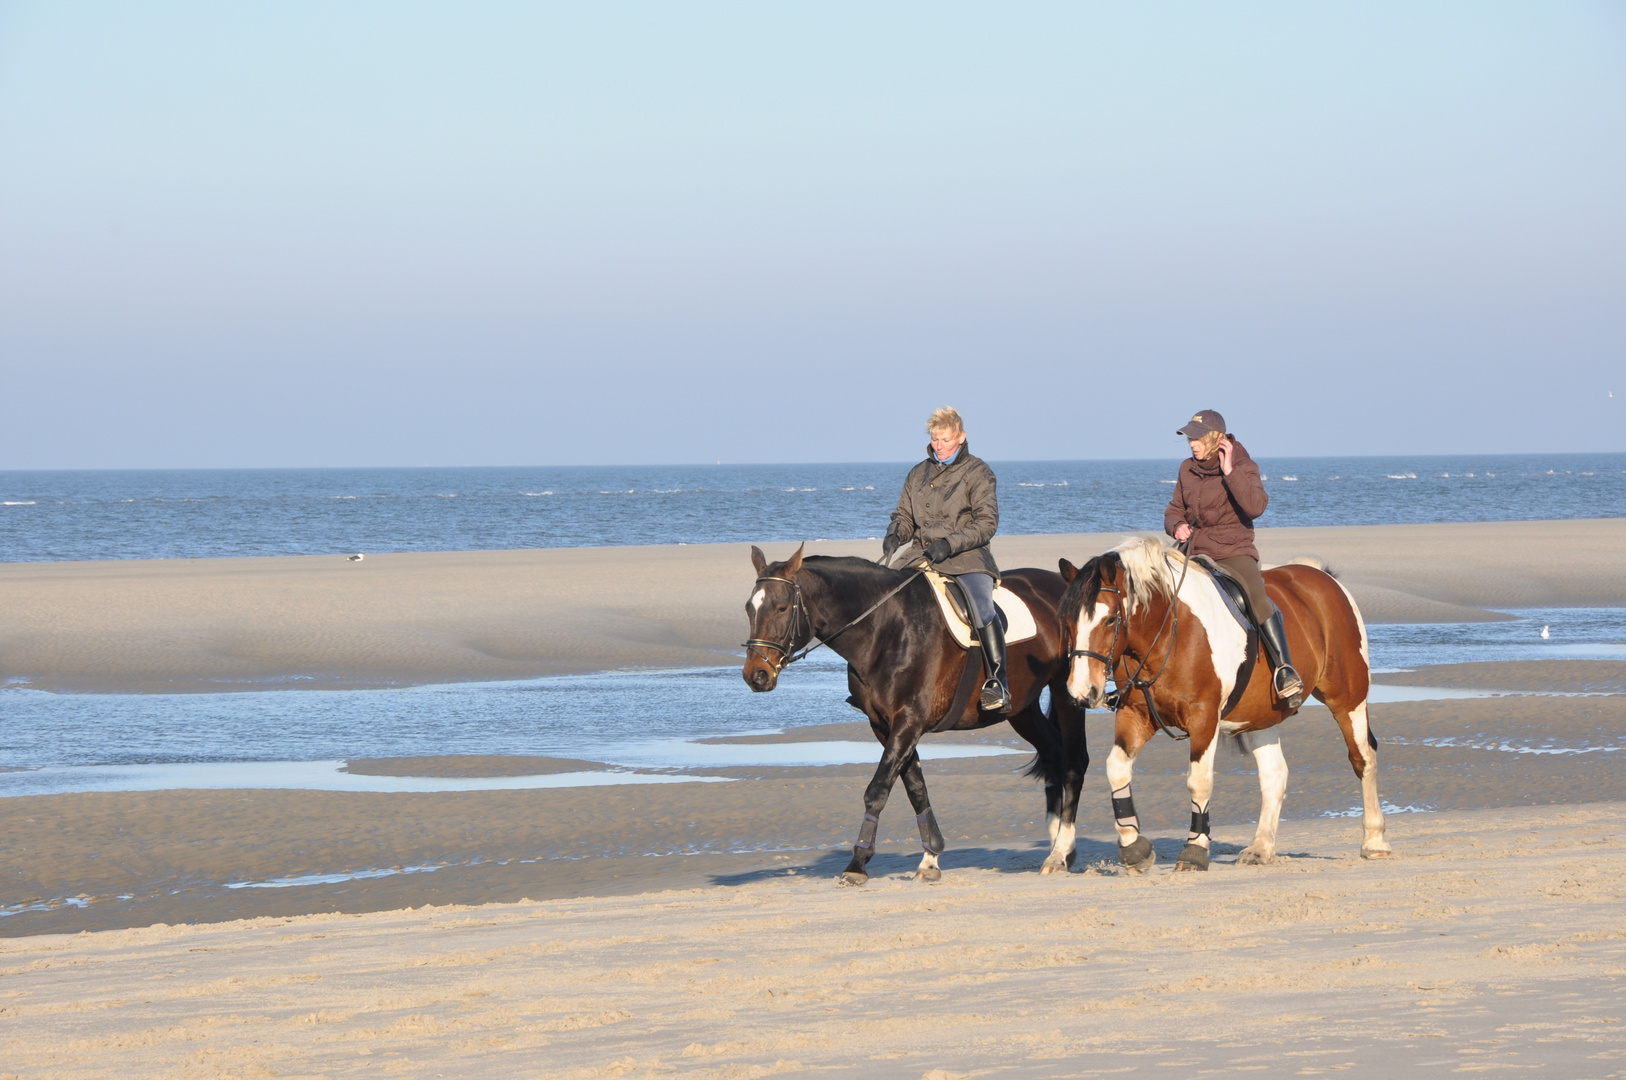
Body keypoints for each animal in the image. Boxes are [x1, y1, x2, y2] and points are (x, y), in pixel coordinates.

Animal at [1060, 536, 1391, 871]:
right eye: (1068, 622)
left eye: (1110, 620)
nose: (1080, 692)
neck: (1170, 632)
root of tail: (1321, 576)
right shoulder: (1136, 715)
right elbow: (1116, 769)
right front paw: (1133, 846)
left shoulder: (1204, 719)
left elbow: (1199, 782)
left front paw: (1195, 850)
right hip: (1261, 716)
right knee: (1274, 775)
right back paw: (1261, 847)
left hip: (1348, 699)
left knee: (1363, 759)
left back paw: (1374, 841)